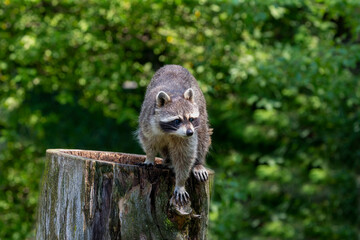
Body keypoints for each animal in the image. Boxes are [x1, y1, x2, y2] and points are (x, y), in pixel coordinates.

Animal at [138, 64, 211, 205]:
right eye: (177, 120)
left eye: (191, 119)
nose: (189, 132)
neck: (171, 132)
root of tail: (173, 65)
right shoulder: (147, 121)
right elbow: (148, 140)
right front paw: (150, 156)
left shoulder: (188, 136)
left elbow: (185, 155)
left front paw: (180, 183)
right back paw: (168, 160)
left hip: (201, 105)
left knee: (203, 135)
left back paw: (198, 163)